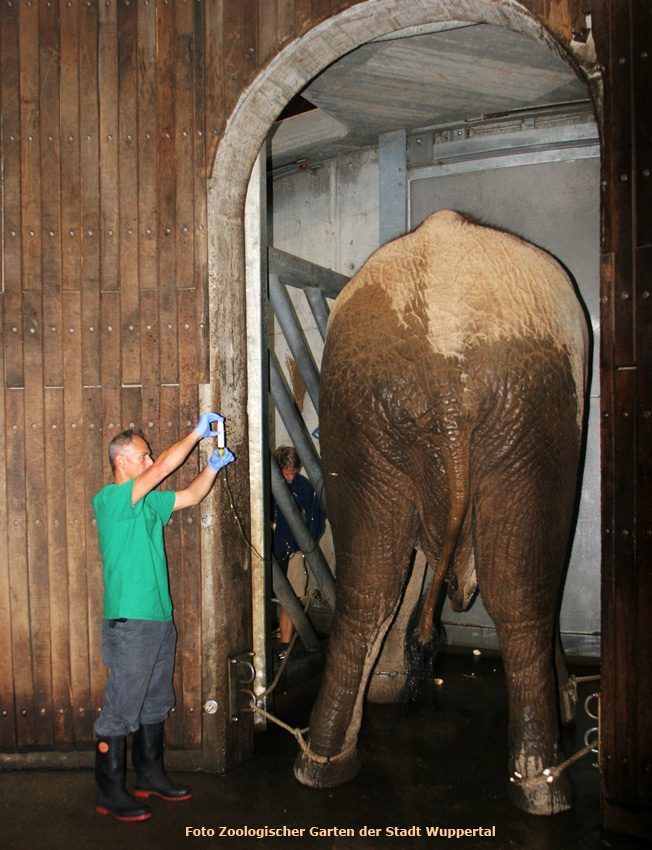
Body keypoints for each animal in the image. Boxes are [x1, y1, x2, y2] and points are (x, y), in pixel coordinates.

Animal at [292, 207, 588, 816]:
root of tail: (449, 379)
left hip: (361, 409)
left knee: (371, 581)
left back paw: (323, 764)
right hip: (531, 410)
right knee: (522, 590)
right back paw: (544, 788)